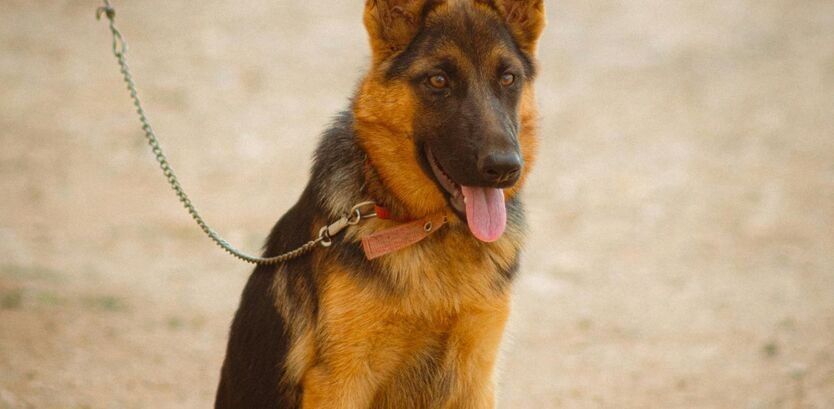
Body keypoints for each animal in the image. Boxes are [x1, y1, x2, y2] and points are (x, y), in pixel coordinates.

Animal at [215, 1, 545, 407]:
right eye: (438, 81)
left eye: (509, 78)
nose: (504, 168)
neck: (427, 227)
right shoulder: (339, 382)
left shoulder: (476, 379)